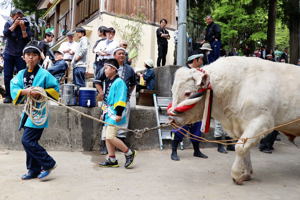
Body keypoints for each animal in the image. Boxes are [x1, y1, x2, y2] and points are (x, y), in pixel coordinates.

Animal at [169, 55, 300, 184]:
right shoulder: (240, 126)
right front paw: (246, 173)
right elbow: (244, 147)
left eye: (187, 93)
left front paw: (237, 174)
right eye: (172, 91)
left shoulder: (261, 121)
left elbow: (240, 148)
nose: (171, 117)